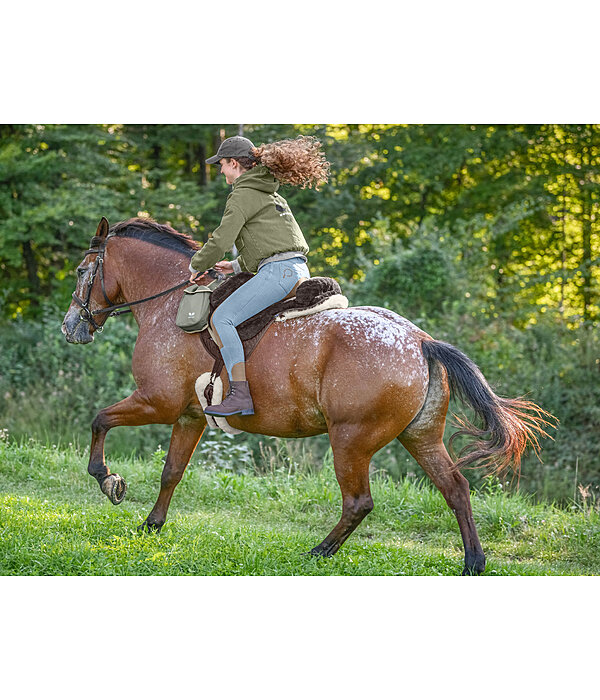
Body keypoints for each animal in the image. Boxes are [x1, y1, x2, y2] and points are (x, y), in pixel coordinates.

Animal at [61, 217, 552, 576]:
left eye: (84, 272)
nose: (71, 326)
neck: (170, 302)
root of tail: (420, 340)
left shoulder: (156, 402)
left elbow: (100, 420)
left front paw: (108, 480)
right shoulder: (188, 416)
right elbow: (171, 473)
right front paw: (152, 525)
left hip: (350, 439)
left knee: (359, 502)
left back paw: (320, 551)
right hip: (421, 437)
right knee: (455, 489)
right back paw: (473, 562)